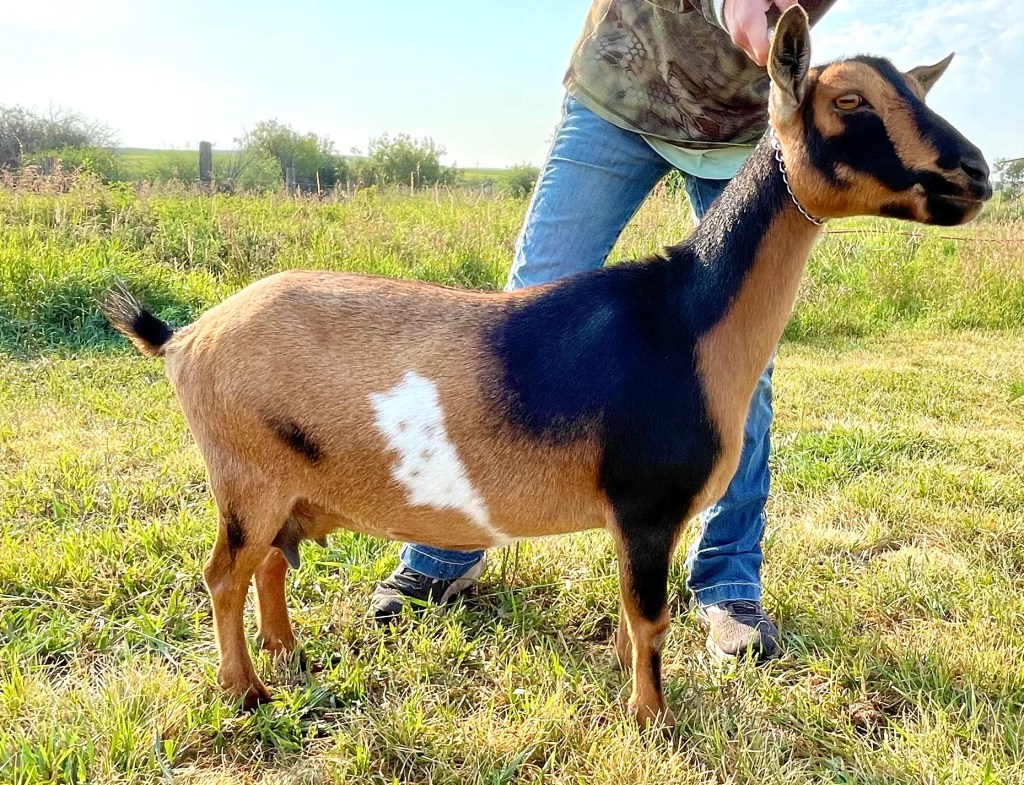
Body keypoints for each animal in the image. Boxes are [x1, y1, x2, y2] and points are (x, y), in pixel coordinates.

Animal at [104, 6, 991, 727]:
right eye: (850, 102)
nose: (977, 174)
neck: (686, 318)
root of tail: (184, 339)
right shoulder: (644, 503)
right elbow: (649, 616)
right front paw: (653, 719)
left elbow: (637, 613)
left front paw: (638, 696)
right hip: (246, 474)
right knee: (223, 572)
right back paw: (247, 690)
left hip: (284, 482)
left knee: (267, 566)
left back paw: (288, 656)